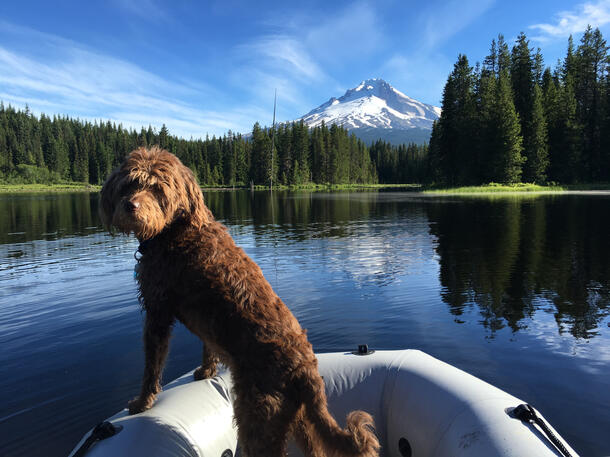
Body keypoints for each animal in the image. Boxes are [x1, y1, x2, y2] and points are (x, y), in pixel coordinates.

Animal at [100, 147, 378, 456]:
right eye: (129, 184)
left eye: (158, 188)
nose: (130, 206)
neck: (177, 230)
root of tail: (307, 371)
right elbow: (207, 347)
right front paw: (206, 371)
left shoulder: (157, 310)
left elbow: (152, 366)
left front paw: (141, 402)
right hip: (298, 418)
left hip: (259, 417)